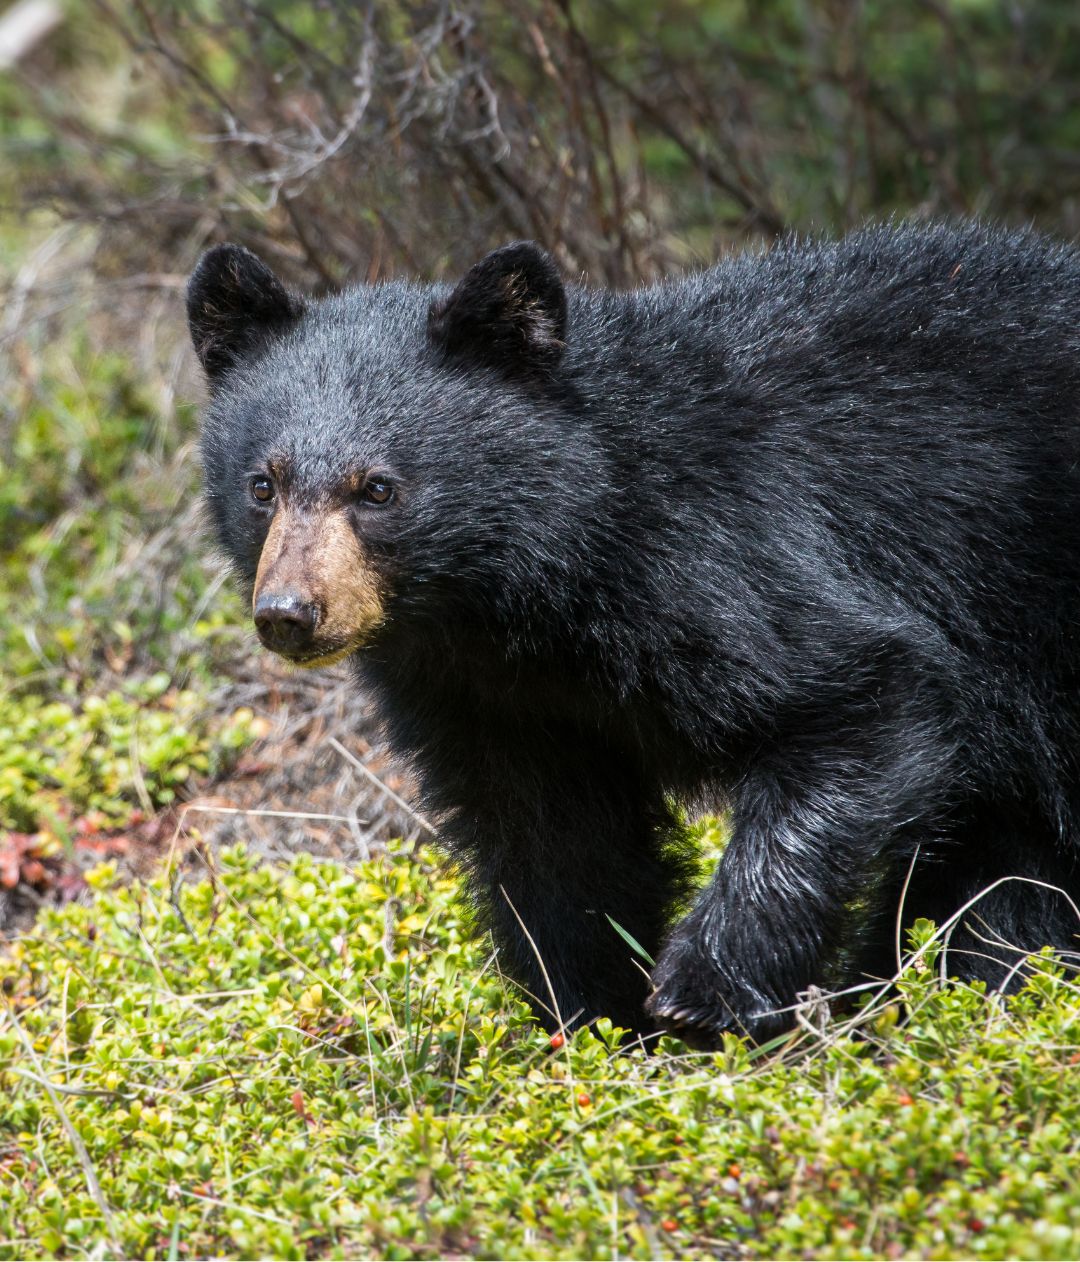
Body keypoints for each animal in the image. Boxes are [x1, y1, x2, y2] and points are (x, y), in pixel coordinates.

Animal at [189, 224, 1080, 1044]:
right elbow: (553, 837)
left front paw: (702, 988)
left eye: (376, 489)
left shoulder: (722, 556)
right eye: (263, 485)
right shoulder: (484, 694)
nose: (290, 613)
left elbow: (863, 695)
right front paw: (593, 1011)